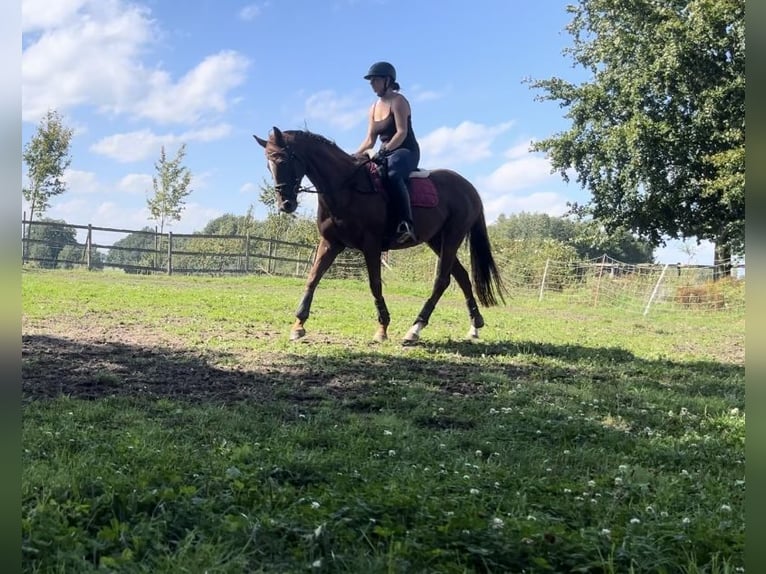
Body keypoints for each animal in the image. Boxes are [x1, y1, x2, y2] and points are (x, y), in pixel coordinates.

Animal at [255, 128, 510, 344]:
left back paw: (415, 329)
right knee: (462, 276)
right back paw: (474, 326)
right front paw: (298, 325)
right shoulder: (330, 243)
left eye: (284, 160)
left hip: (452, 236)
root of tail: (470, 188)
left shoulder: (371, 245)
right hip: (437, 240)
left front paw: (382, 328)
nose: (285, 204)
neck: (346, 188)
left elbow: (375, 284)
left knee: (442, 280)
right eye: (268, 165)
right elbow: (313, 277)